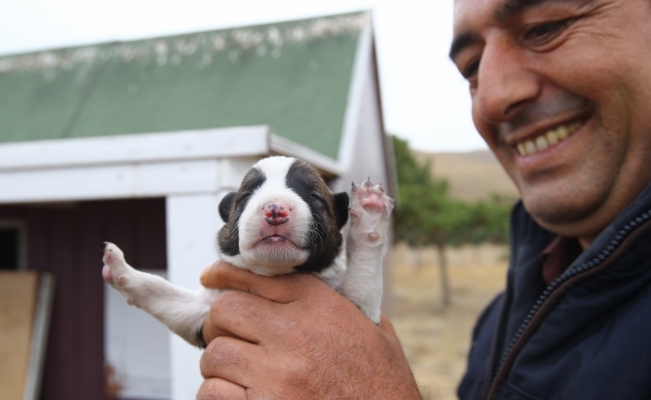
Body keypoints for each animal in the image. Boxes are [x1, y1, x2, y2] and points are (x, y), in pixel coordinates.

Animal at [103, 156, 392, 346]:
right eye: (244, 197)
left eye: (315, 197)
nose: (275, 209)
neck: (274, 272)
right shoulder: (202, 313)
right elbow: (160, 291)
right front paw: (121, 269)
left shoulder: (362, 311)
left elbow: (363, 271)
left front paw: (369, 209)